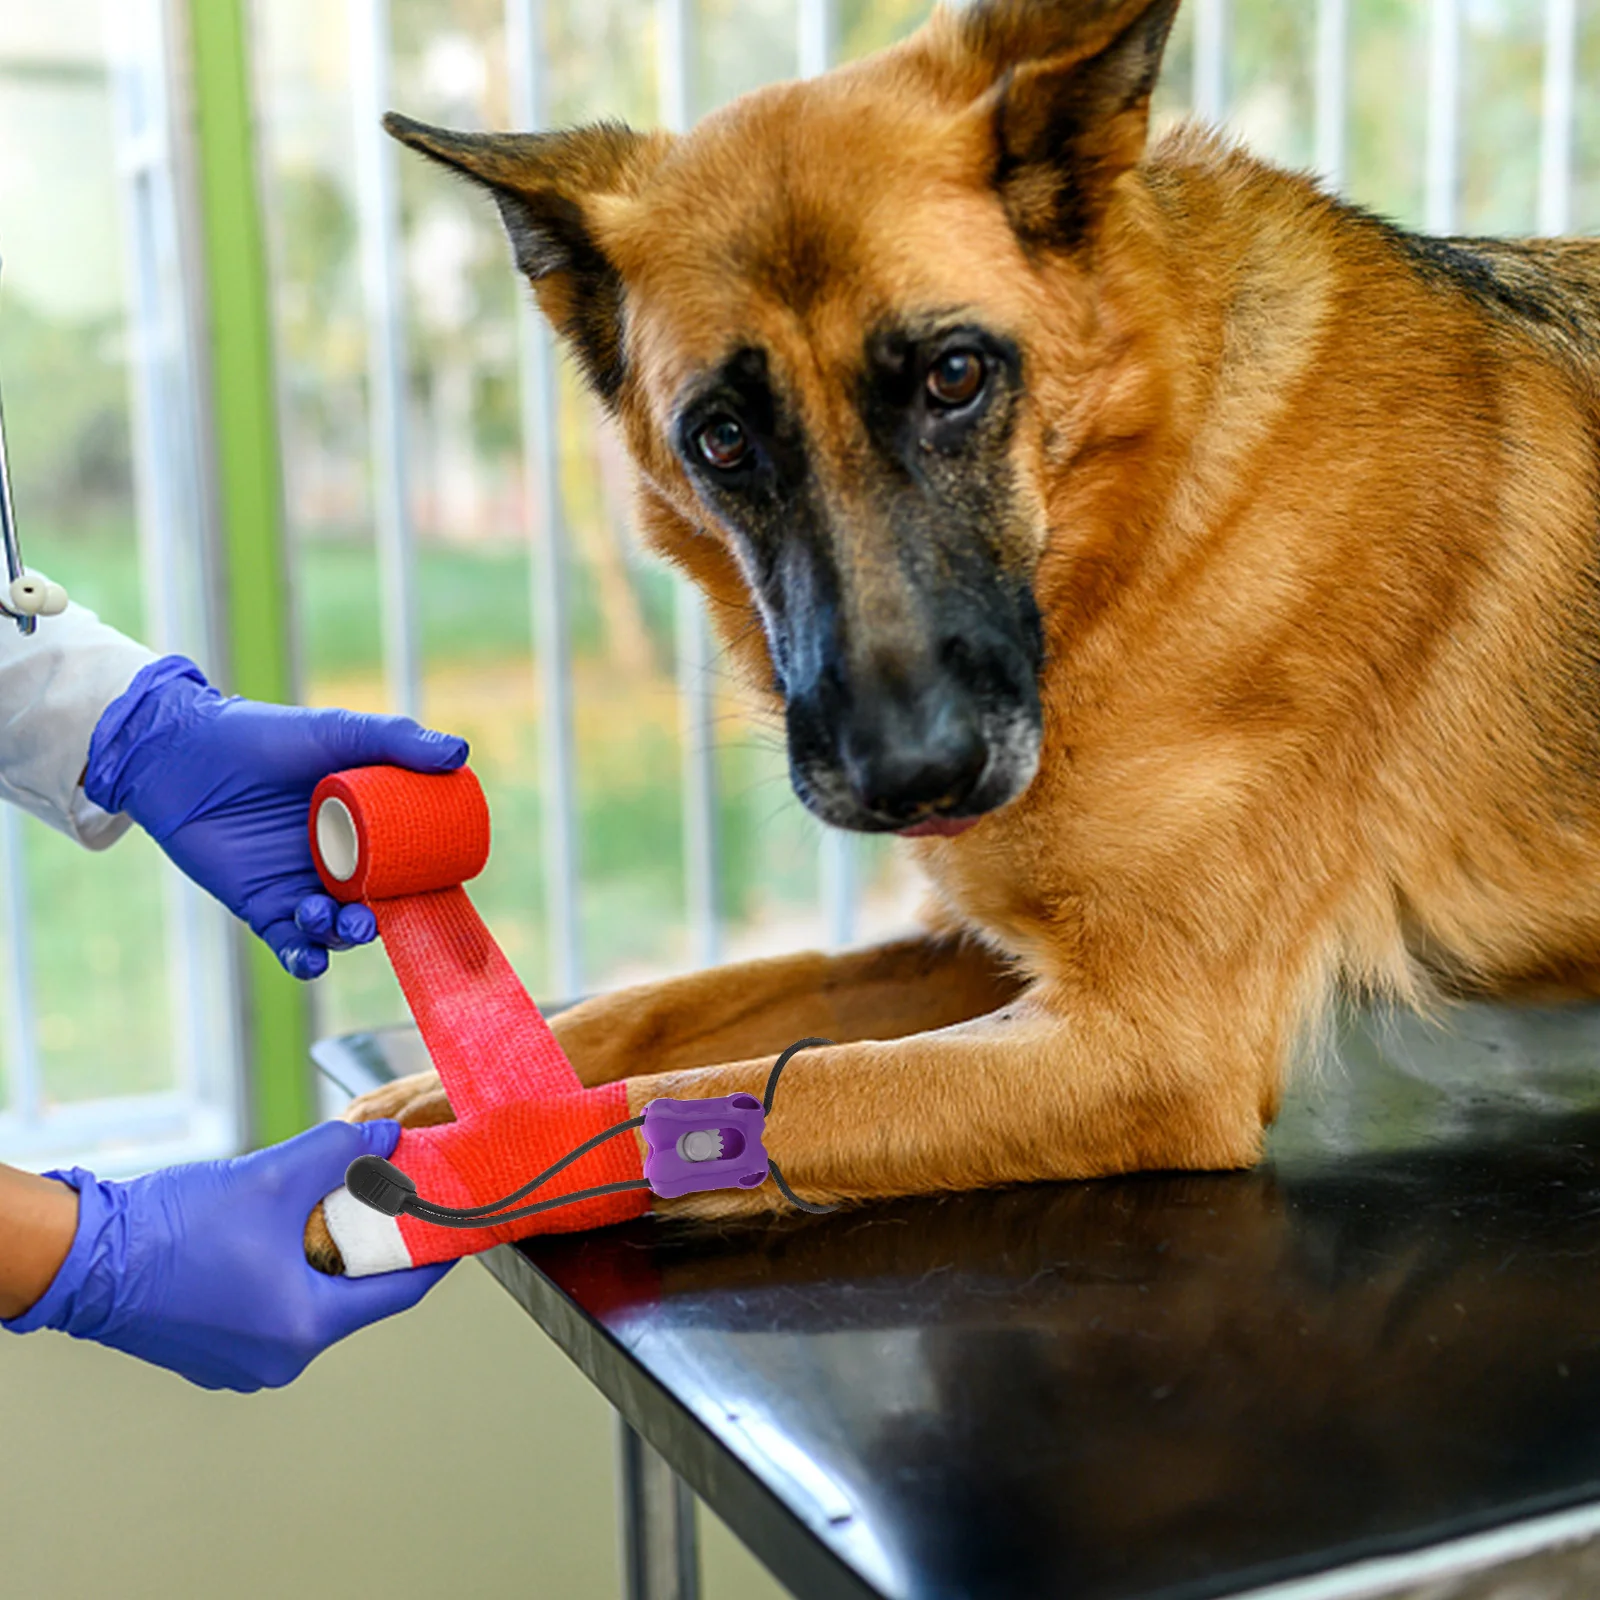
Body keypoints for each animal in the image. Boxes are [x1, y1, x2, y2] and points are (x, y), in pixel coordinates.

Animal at [302, 3, 1600, 1273]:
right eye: (721, 438)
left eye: (956, 375)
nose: (912, 779)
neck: (1148, 515)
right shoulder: (973, 949)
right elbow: (665, 1006)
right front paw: (401, 1110)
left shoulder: (1145, 1047)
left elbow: (763, 1089)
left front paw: (432, 1175)